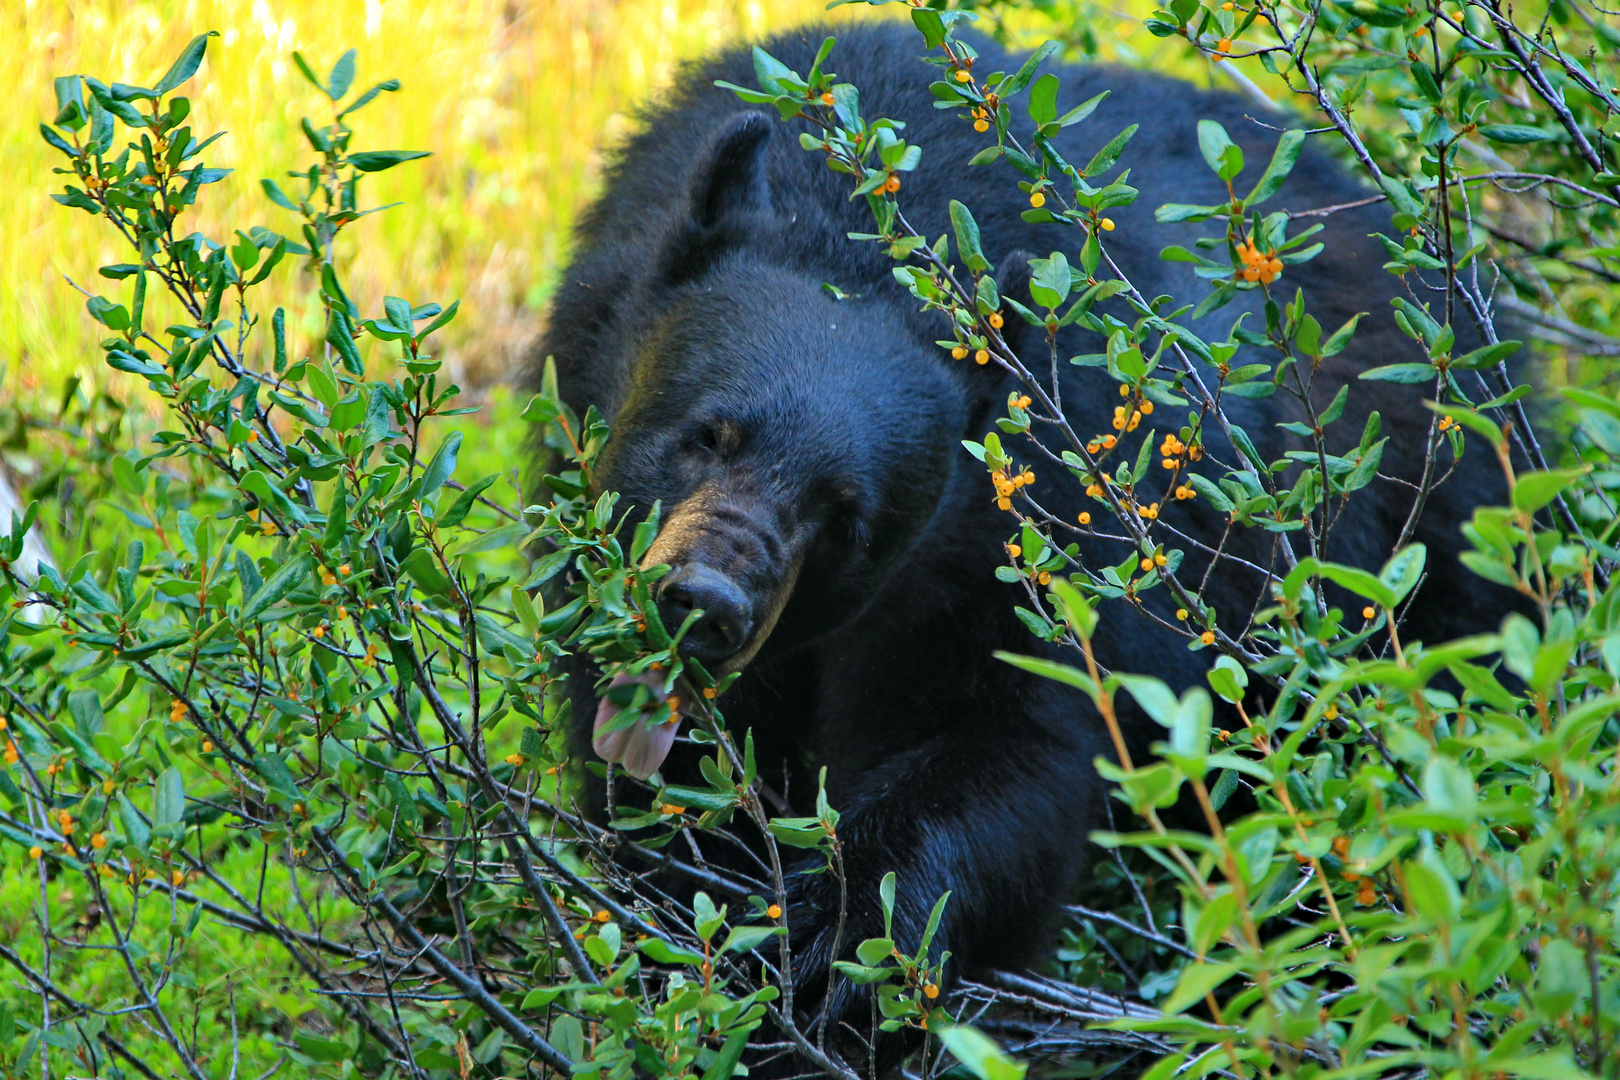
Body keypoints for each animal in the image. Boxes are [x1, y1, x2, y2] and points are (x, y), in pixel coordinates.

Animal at [531, 21, 1516, 1068]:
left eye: (848, 520)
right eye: (708, 434)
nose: (705, 605)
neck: (865, 226)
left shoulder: (1037, 536)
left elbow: (1017, 750)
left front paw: (836, 936)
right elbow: (666, 783)